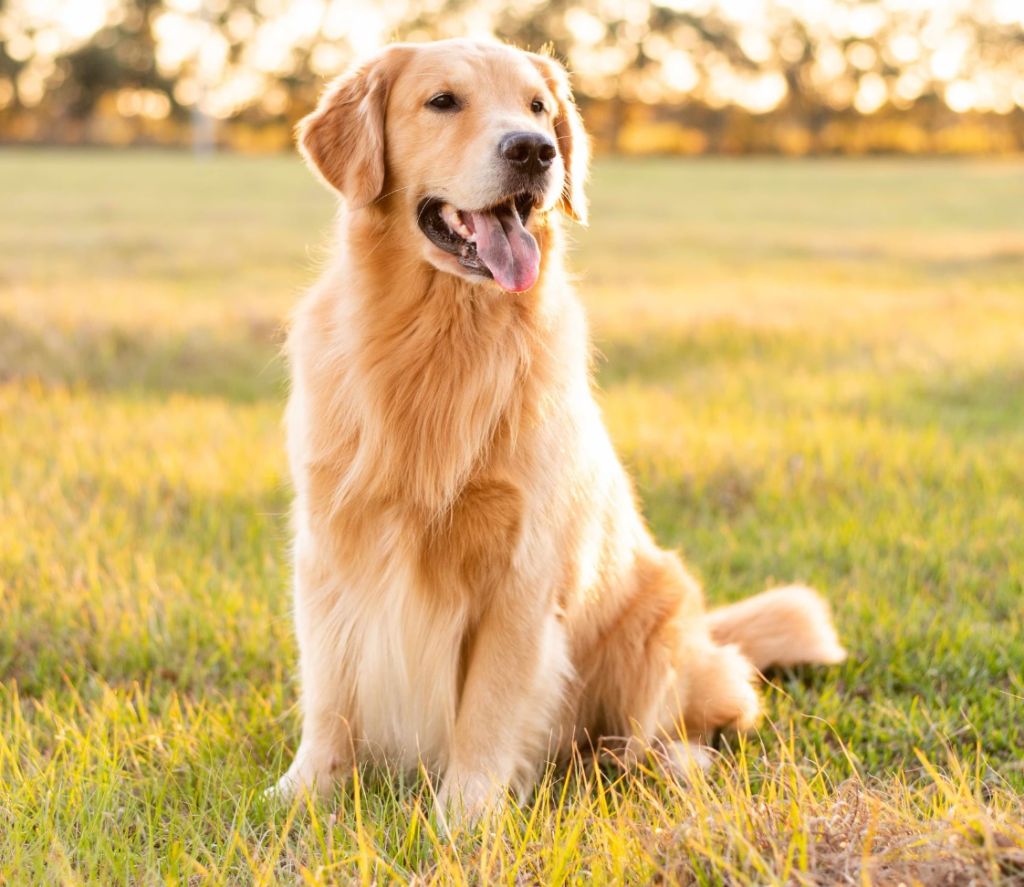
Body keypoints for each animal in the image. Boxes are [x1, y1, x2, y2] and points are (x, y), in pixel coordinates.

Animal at [276, 39, 843, 815]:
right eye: (442, 101)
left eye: (539, 107)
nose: (533, 150)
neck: (441, 336)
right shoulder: (331, 548)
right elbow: (329, 692)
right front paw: (304, 790)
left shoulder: (522, 571)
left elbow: (487, 707)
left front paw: (466, 815)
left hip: (659, 616)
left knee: (701, 716)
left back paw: (665, 760)